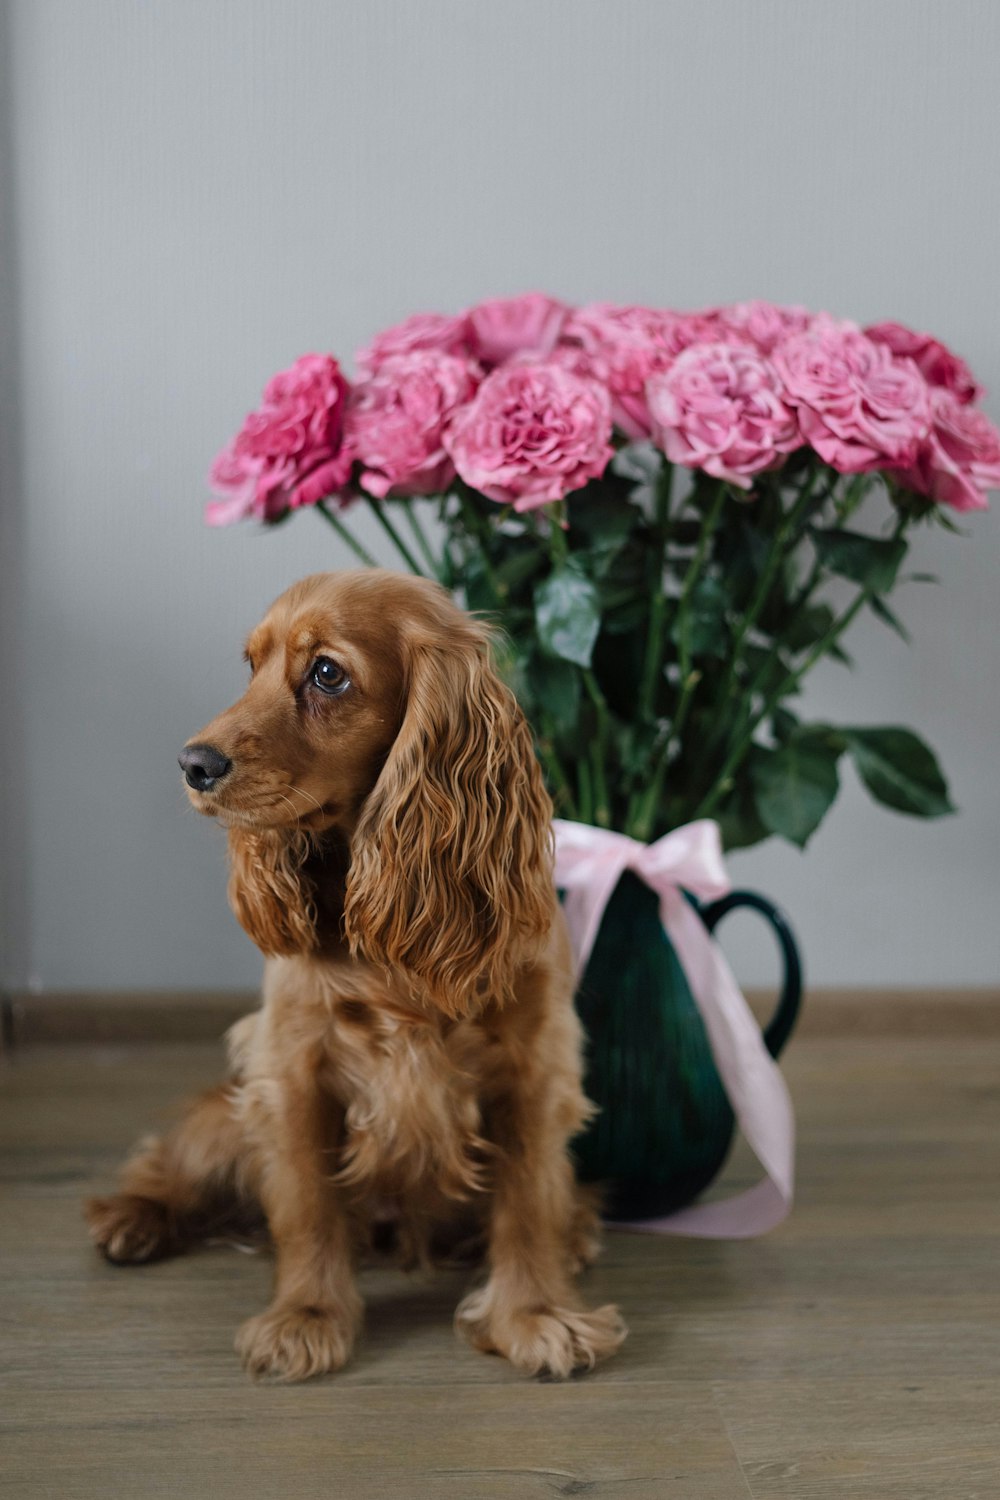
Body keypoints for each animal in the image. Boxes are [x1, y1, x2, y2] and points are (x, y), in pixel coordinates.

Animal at [89, 567, 629, 1374]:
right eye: (251, 666)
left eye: (326, 673)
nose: (193, 763)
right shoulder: (292, 1068)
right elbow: (308, 1205)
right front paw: (305, 1318)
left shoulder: (535, 1066)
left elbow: (529, 1201)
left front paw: (535, 1315)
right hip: (226, 1113)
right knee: (171, 1156)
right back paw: (132, 1217)